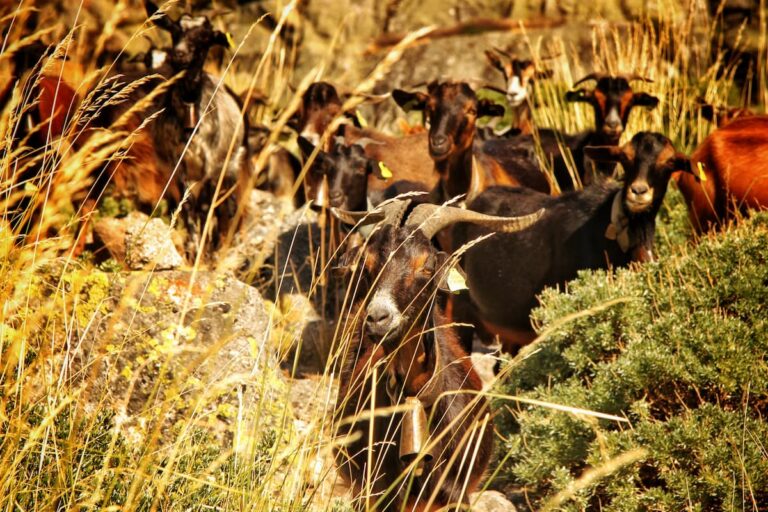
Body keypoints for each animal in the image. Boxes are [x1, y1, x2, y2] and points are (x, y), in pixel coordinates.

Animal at [334, 199, 543, 511]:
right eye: (367, 265)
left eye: (427, 265)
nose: (378, 318)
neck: (415, 398)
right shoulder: (377, 493)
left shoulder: (457, 494)